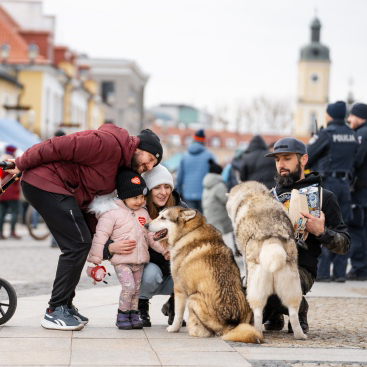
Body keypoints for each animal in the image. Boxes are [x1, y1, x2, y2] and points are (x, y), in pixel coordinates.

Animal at [145, 208, 264, 344]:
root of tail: (231, 324)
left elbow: (178, 315)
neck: (188, 232)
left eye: (163, 218)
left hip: (193, 298)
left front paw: (173, 328)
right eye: (159, 215)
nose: (145, 225)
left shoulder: (179, 288)